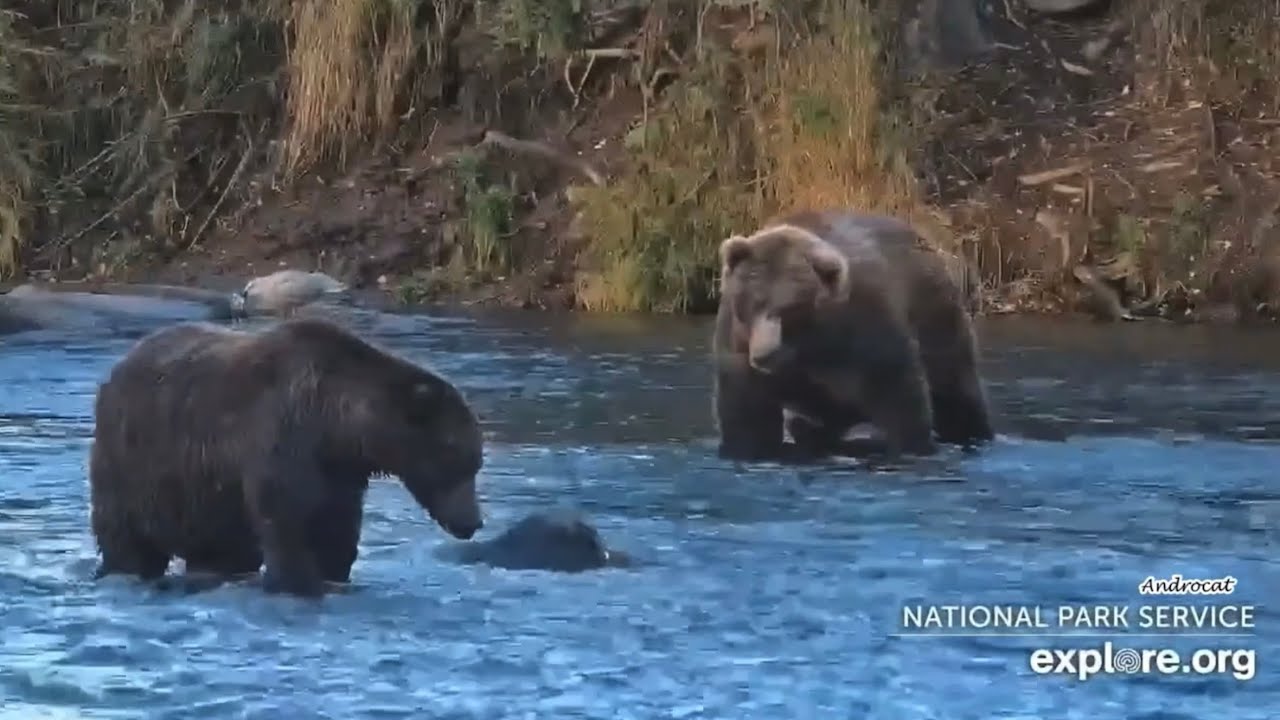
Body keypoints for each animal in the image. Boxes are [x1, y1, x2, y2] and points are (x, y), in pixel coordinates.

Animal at [88, 317, 485, 598]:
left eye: (475, 462)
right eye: (460, 459)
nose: (473, 522)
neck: (337, 425)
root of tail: (116, 369)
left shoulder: (341, 473)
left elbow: (337, 530)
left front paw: (334, 575)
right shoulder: (280, 438)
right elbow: (286, 520)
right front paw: (297, 581)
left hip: (203, 499)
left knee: (218, 550)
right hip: (133, 466)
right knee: (125, 538)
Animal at [711, 208, 994, 462]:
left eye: (789, 308)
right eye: (754, 301)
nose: (764, 354)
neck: (806, 345)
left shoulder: (864, 332)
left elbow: (901, 399)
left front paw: (911, 446)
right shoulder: (739, 347)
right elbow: (748, 419)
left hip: (935, 317)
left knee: (957, 391)